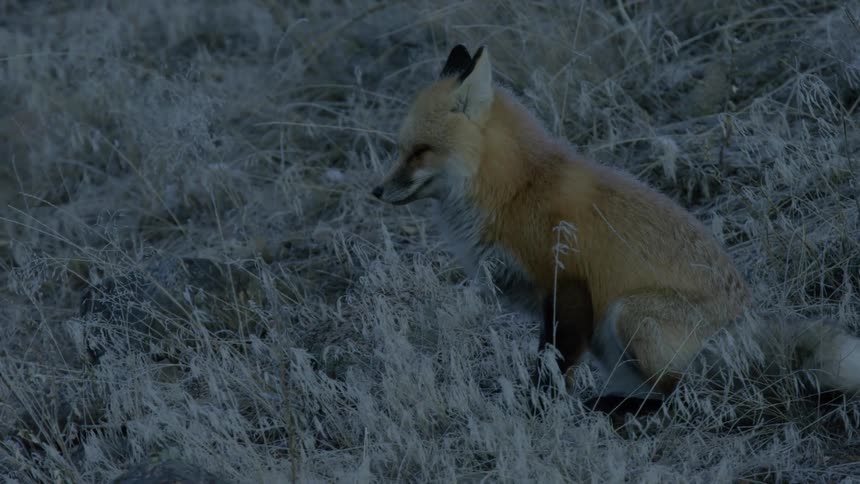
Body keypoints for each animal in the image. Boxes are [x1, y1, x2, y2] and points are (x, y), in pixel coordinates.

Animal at [371, 44, 860, 412]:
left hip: (630, 314)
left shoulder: (567, 284)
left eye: (420, 151)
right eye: (400, 149)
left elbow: (551, 366)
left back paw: (613, 408)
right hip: (614, 342)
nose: (376, 191)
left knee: (682, 392)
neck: (516, 190)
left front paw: (537, 412)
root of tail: (745, 329)